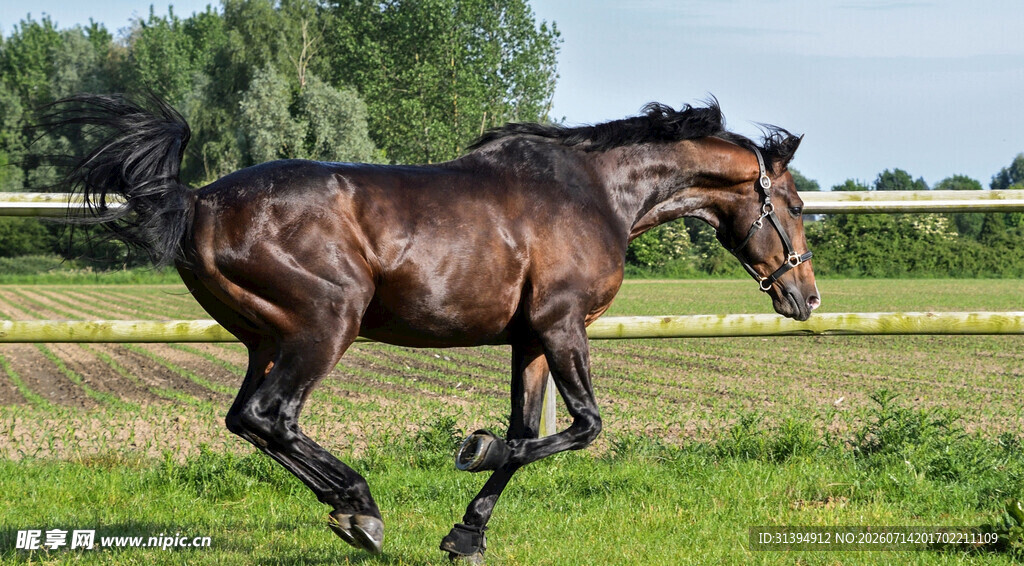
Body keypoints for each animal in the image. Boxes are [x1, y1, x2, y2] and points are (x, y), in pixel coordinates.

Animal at [45, 94, 819, 563]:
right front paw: (470, 450)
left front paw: (466, 534)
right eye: (794, 203)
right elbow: (581, 427)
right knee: (273, 416)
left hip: (266, 339)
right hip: (326, 325)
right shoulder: (563, 326)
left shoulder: (530, 339)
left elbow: (526, 434)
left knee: (247, 419)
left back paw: (350, 508)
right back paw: (360, 510)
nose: (805, 296)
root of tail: (198, 200)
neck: (598, 193)